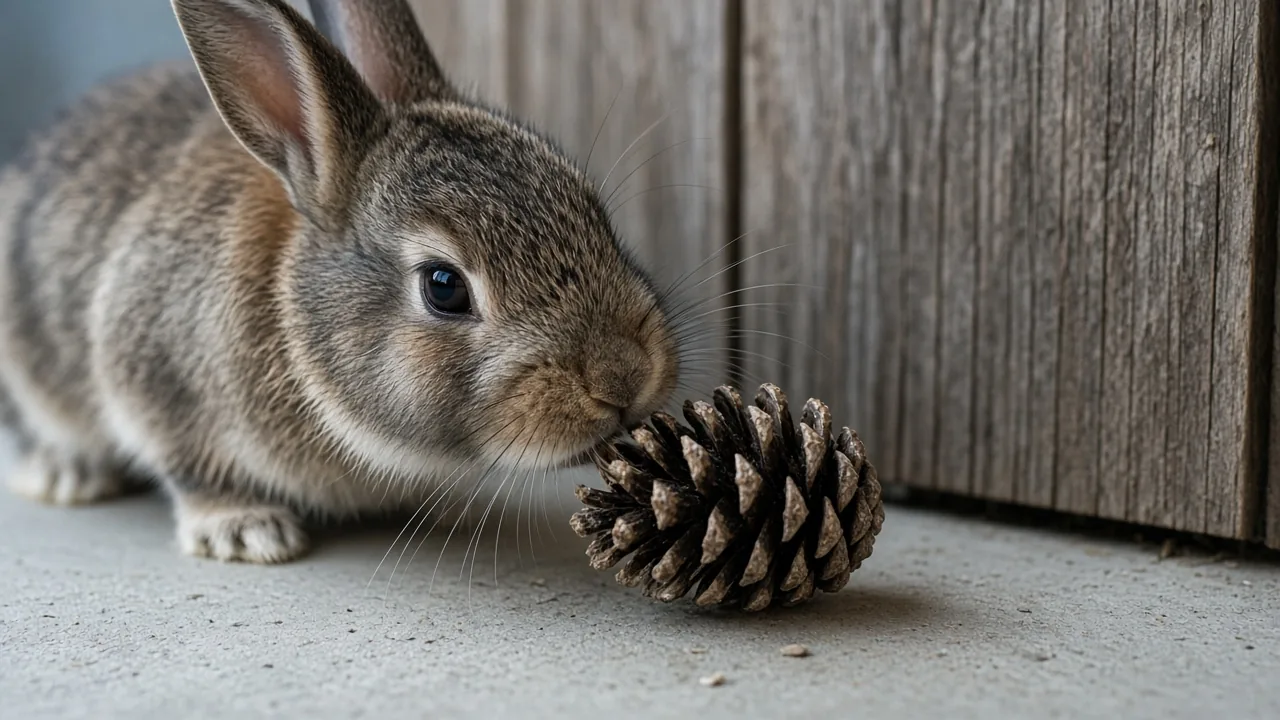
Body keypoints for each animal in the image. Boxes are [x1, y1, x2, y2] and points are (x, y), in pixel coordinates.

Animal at [0, 0, 681, 564]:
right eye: (443, 286)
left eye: (592, 210)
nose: (623, 380)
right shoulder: (154, 375)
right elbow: (191, 469)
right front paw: (243, 530)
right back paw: (66, 473)